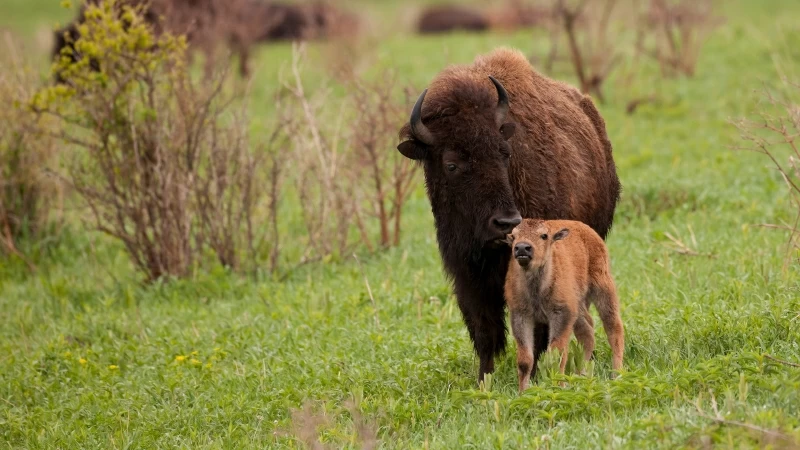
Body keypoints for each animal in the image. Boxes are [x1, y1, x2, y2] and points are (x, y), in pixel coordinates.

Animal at [506, 220, 624, 392]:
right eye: (514, 236)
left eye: (544, 235)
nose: (522, 248)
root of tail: (586, 229)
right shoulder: (520, 315)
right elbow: (525, 360)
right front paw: (523, 392)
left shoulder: (561, 314)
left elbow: (557, 355)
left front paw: (558, 386)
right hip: (578, 306)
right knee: (587, 332)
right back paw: (581, 375)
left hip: (603, 288)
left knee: (614, 327)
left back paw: (616, 375)